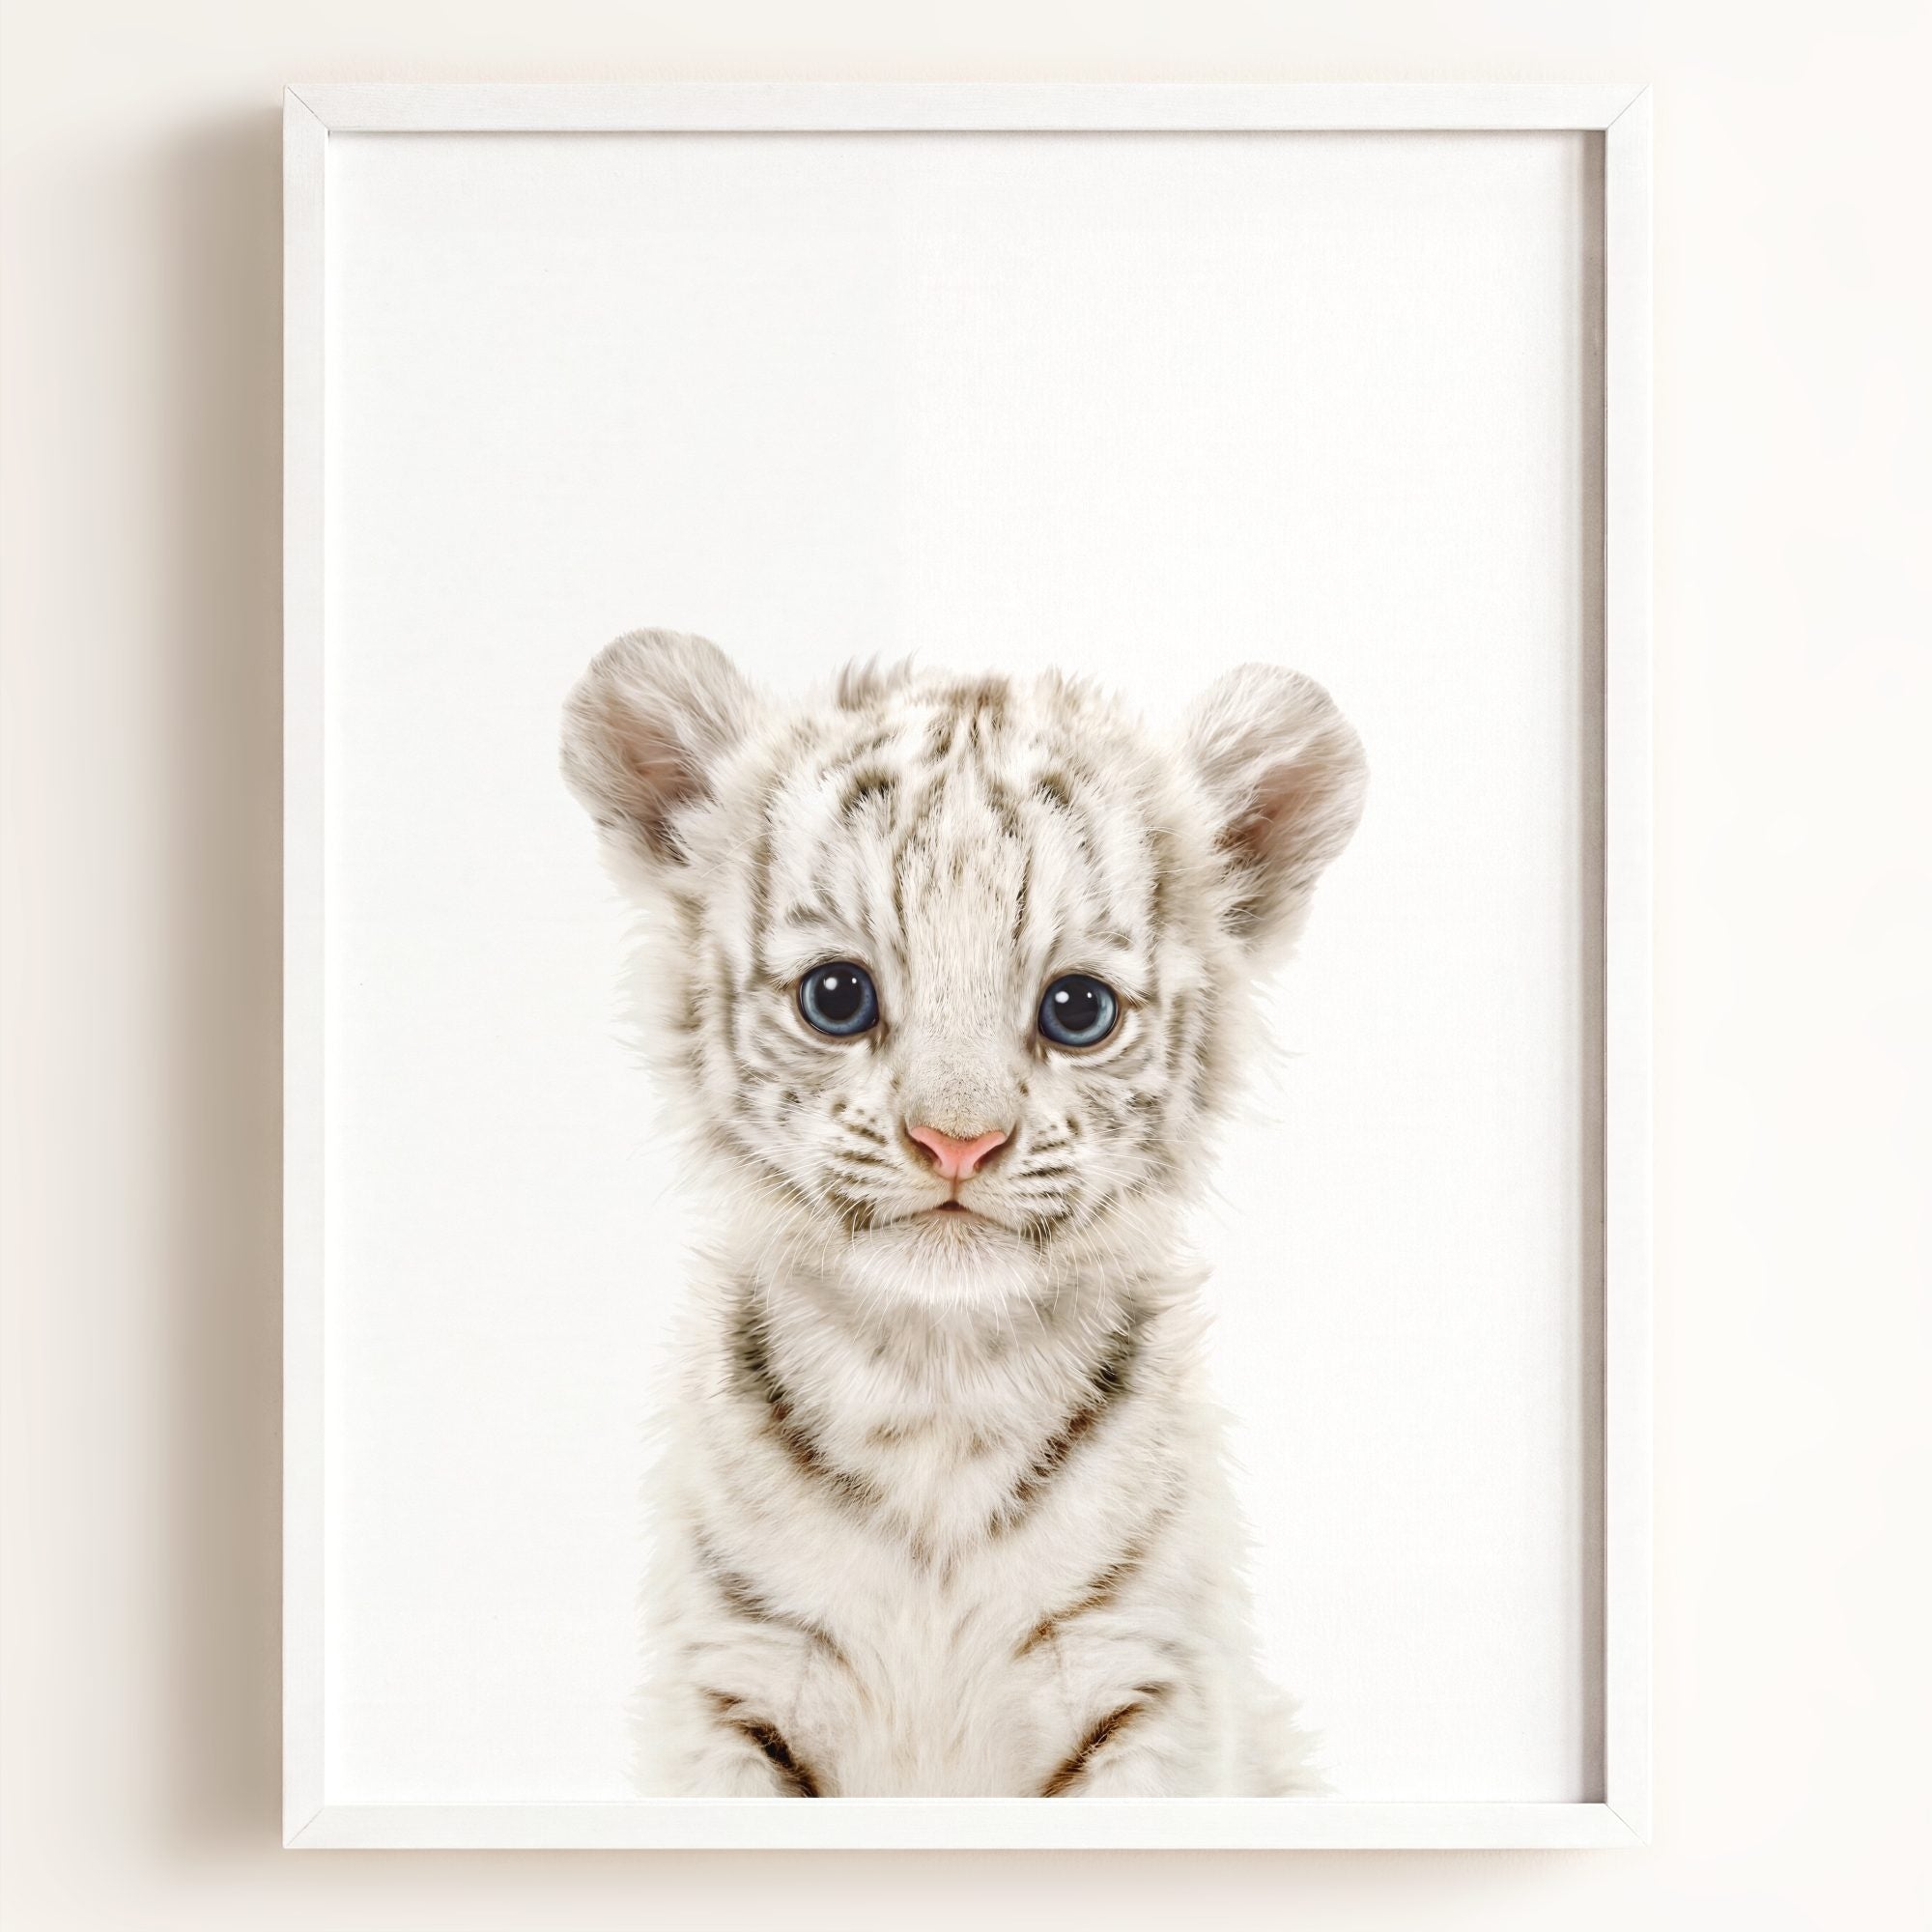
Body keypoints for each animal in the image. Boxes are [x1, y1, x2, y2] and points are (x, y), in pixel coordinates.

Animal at [560, 628, 1366, 1797]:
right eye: (836, 996)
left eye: (1077, 1010)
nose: (957, 1141)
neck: (936, 1384)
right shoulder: (731, 1684)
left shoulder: (1146, 1685)